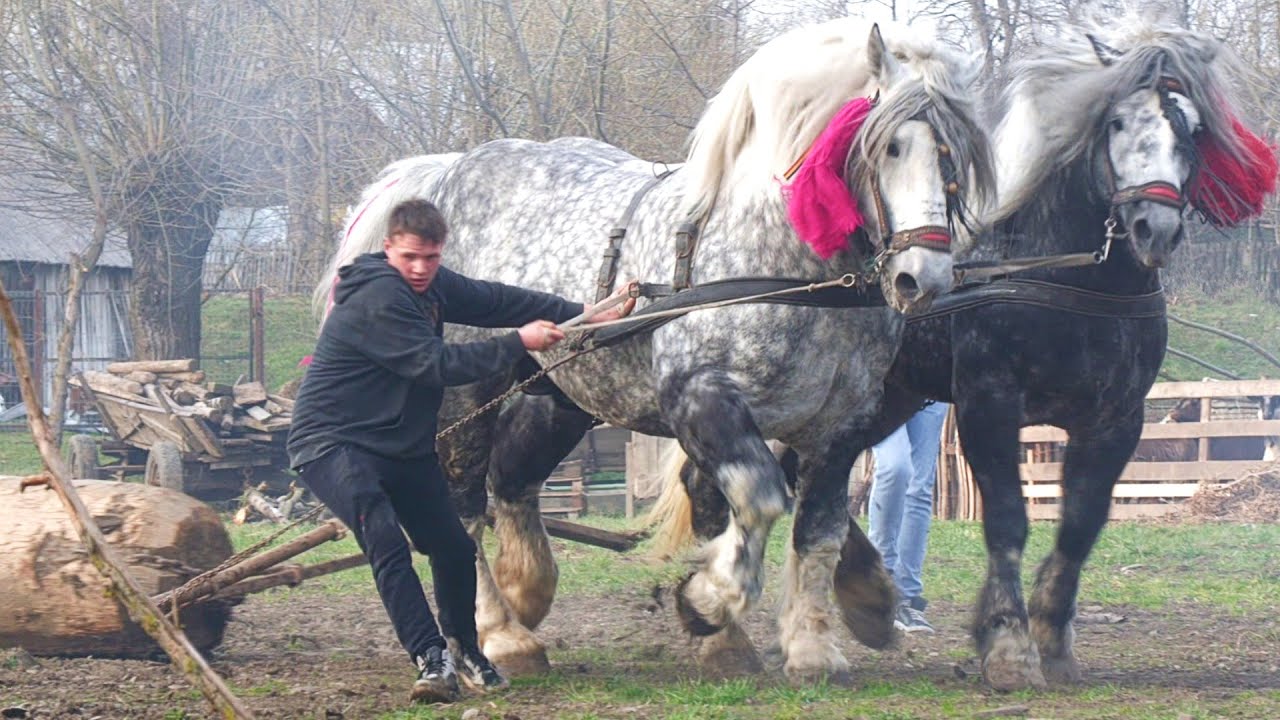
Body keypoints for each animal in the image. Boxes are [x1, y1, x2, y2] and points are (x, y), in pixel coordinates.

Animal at [320, 17, 994, 681]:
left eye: (954, 155)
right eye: (889, 146)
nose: (922, 278)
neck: (787, 266)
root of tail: (452, 171)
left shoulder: (841, 425)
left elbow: (816, 531)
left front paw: (809, 647)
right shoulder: (701, 397)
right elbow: (759, 497)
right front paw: (706, 602)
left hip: (561, 393)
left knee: (512, 481)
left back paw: (527, 594)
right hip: (467, 394)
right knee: (460, 509)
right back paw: (501, 634)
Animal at [653, 12, 1278, 690]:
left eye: (1192, 129)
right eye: (1116, 123)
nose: (1153, 229)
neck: (1060, 278)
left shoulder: (1117, 420)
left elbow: (1081, 525)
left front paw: (1052, 637)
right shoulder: (989, 404)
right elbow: (1007, 518)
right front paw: (1007, 645)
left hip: (878, 401)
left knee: (799, 482)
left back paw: (863, 597)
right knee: (723, 481)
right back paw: (738, 626)